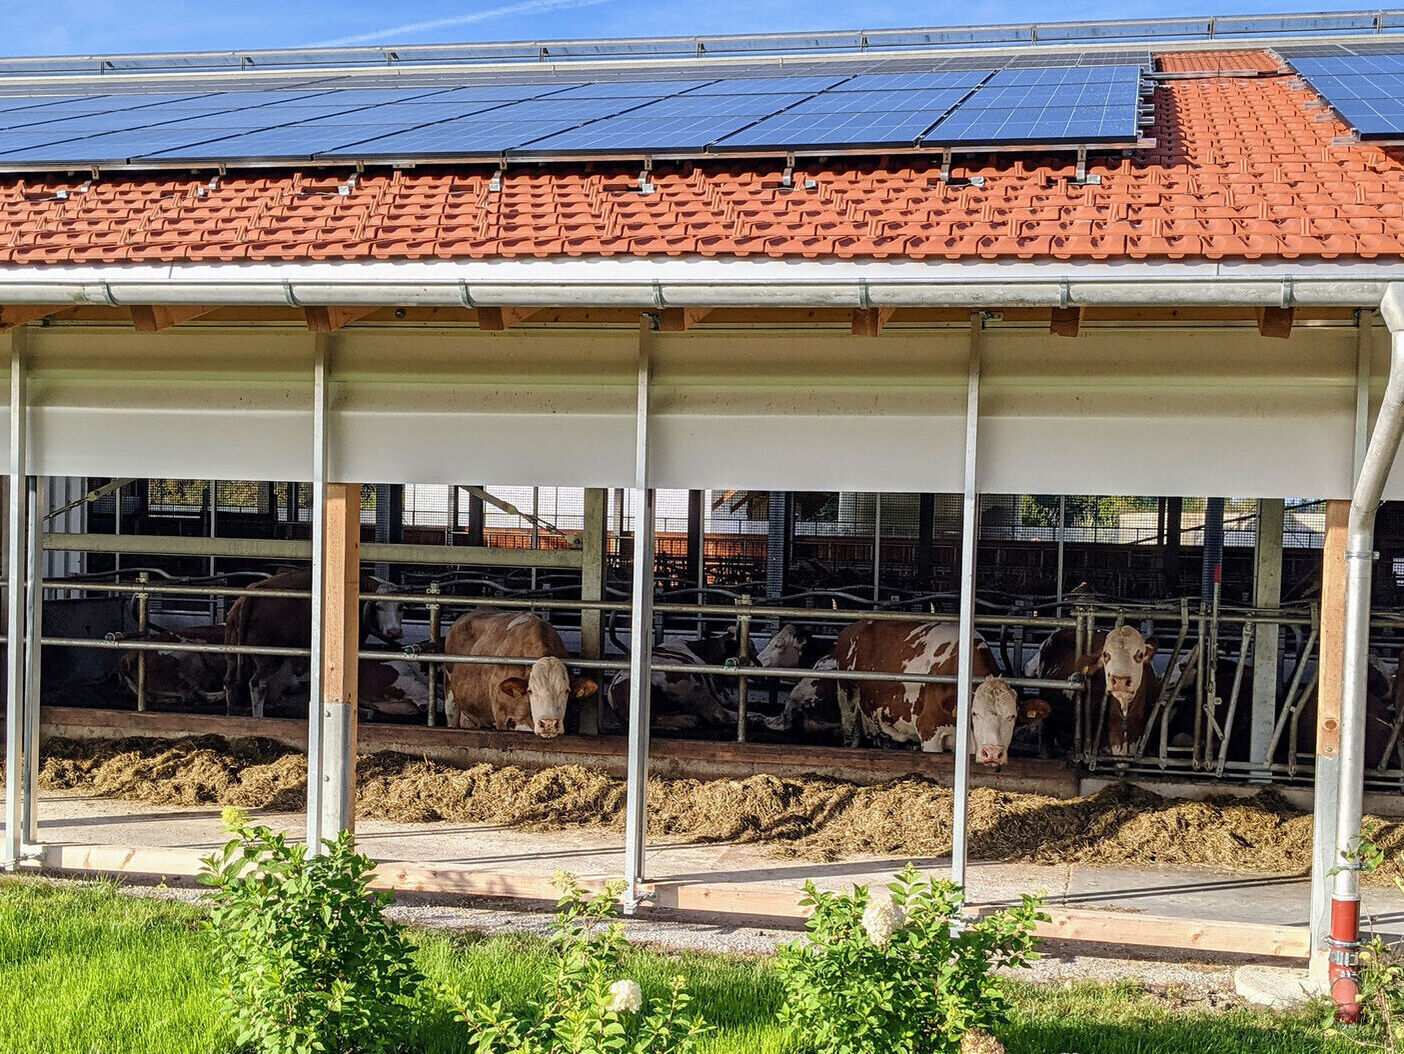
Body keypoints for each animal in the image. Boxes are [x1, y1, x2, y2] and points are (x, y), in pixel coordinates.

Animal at [221, 572, 404, 724]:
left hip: (232, 656)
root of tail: (249, 599)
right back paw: (259, 717)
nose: (395, 631)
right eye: (379, 606)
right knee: (258, 684)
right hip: (269, 659)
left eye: (401, 607)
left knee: (230, 681)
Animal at [440, 606, 589, 735]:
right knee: (452, 714)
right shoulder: (502, 719)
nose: (549, 723)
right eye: (530, 691)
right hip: (449, 688)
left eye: (566, 691)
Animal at [831, 617, 1044, 769]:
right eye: (975, 713)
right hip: (846, 697)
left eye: (1012, 716)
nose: (992, 753)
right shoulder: (929, 732)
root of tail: (854, 626)